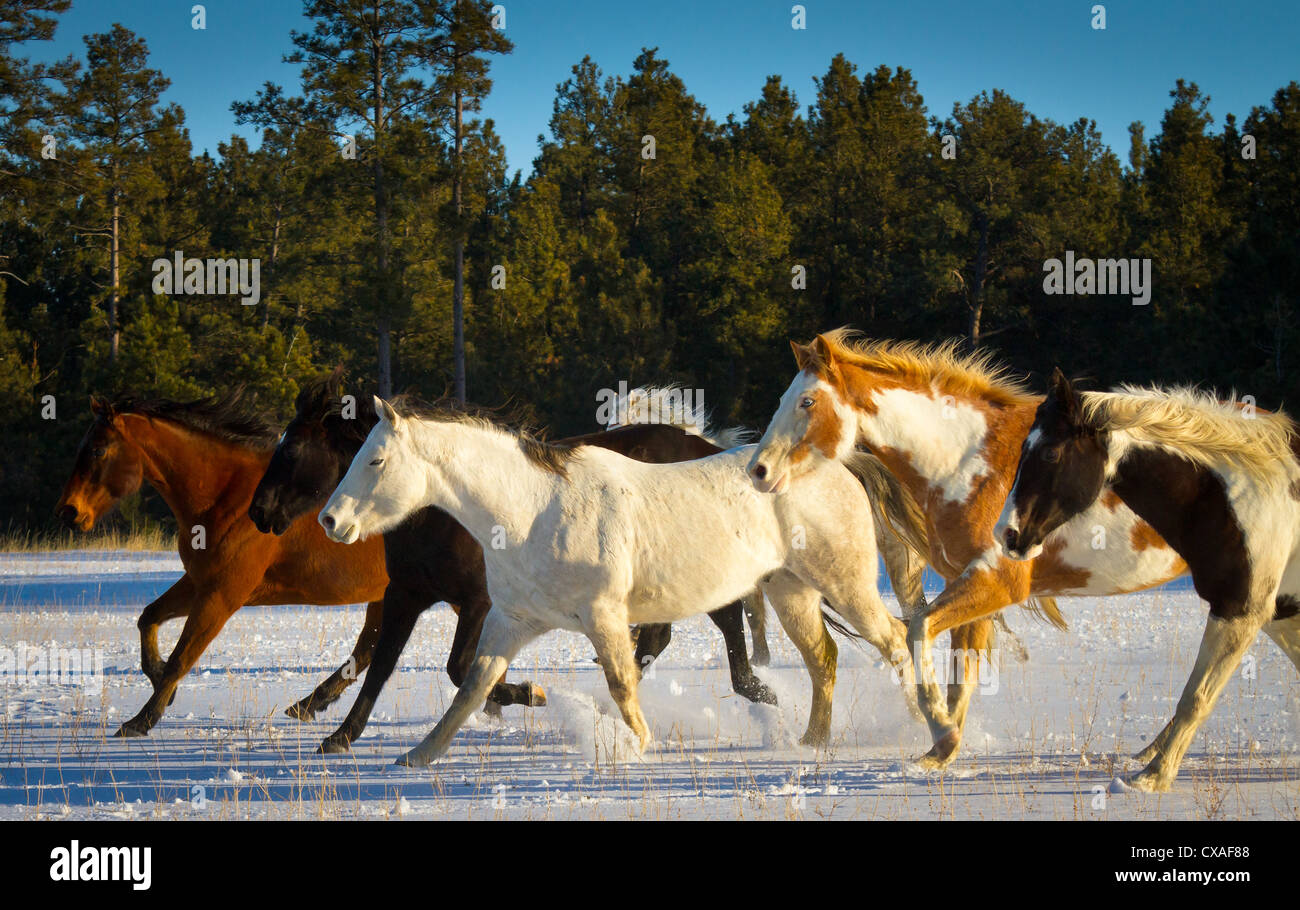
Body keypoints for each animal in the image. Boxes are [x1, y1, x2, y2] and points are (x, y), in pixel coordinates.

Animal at [54, 391, 389, 736]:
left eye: (97, 450)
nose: (68, 511)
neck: (228, 501)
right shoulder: (199, 583)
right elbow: (148, 619)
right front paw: (162, 686)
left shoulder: (221, 595)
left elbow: (182, 657)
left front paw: (142, 719)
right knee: (366, 649)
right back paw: (308, 705)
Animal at [248, 375, 812, 753]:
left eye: (292, 449)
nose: (260, 512)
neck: (445, 510)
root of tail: (705, 444)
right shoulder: (406, 593)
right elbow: (379, 661)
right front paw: (336, 731)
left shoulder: (475, 601)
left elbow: (456, 667)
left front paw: (522, 695)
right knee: (662, 635)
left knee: (725, 626)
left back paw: (757, 694)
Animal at [318, 396, 929, 766]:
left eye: (376, 460)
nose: (330, 520)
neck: (532, 510)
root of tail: (840, 465)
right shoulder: (510, 620)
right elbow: (472, 686)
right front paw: (418, 755)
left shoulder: (604, 616)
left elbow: (621, 680)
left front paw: (635, 742)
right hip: (791, 592)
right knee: (823, 658)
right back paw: (811, 742)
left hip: (846, 586)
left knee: (896, 640)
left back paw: (923, 728)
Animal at [746, 330, 1186, 769]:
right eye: (784, 398)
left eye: (807, 401)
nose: (758, 470)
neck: (972, 465)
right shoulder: (967, 581)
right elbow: (961, 674)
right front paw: (942, 748)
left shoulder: (998, 582)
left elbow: (920, 633)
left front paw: (941, 734)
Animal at [995, 369, 1300, 791]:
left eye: (1050, 453)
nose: (1006, 534)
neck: (1242, 494)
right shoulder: (1277, 612)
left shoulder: (1241, 610)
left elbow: (1196, 697)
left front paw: (1154, 776)